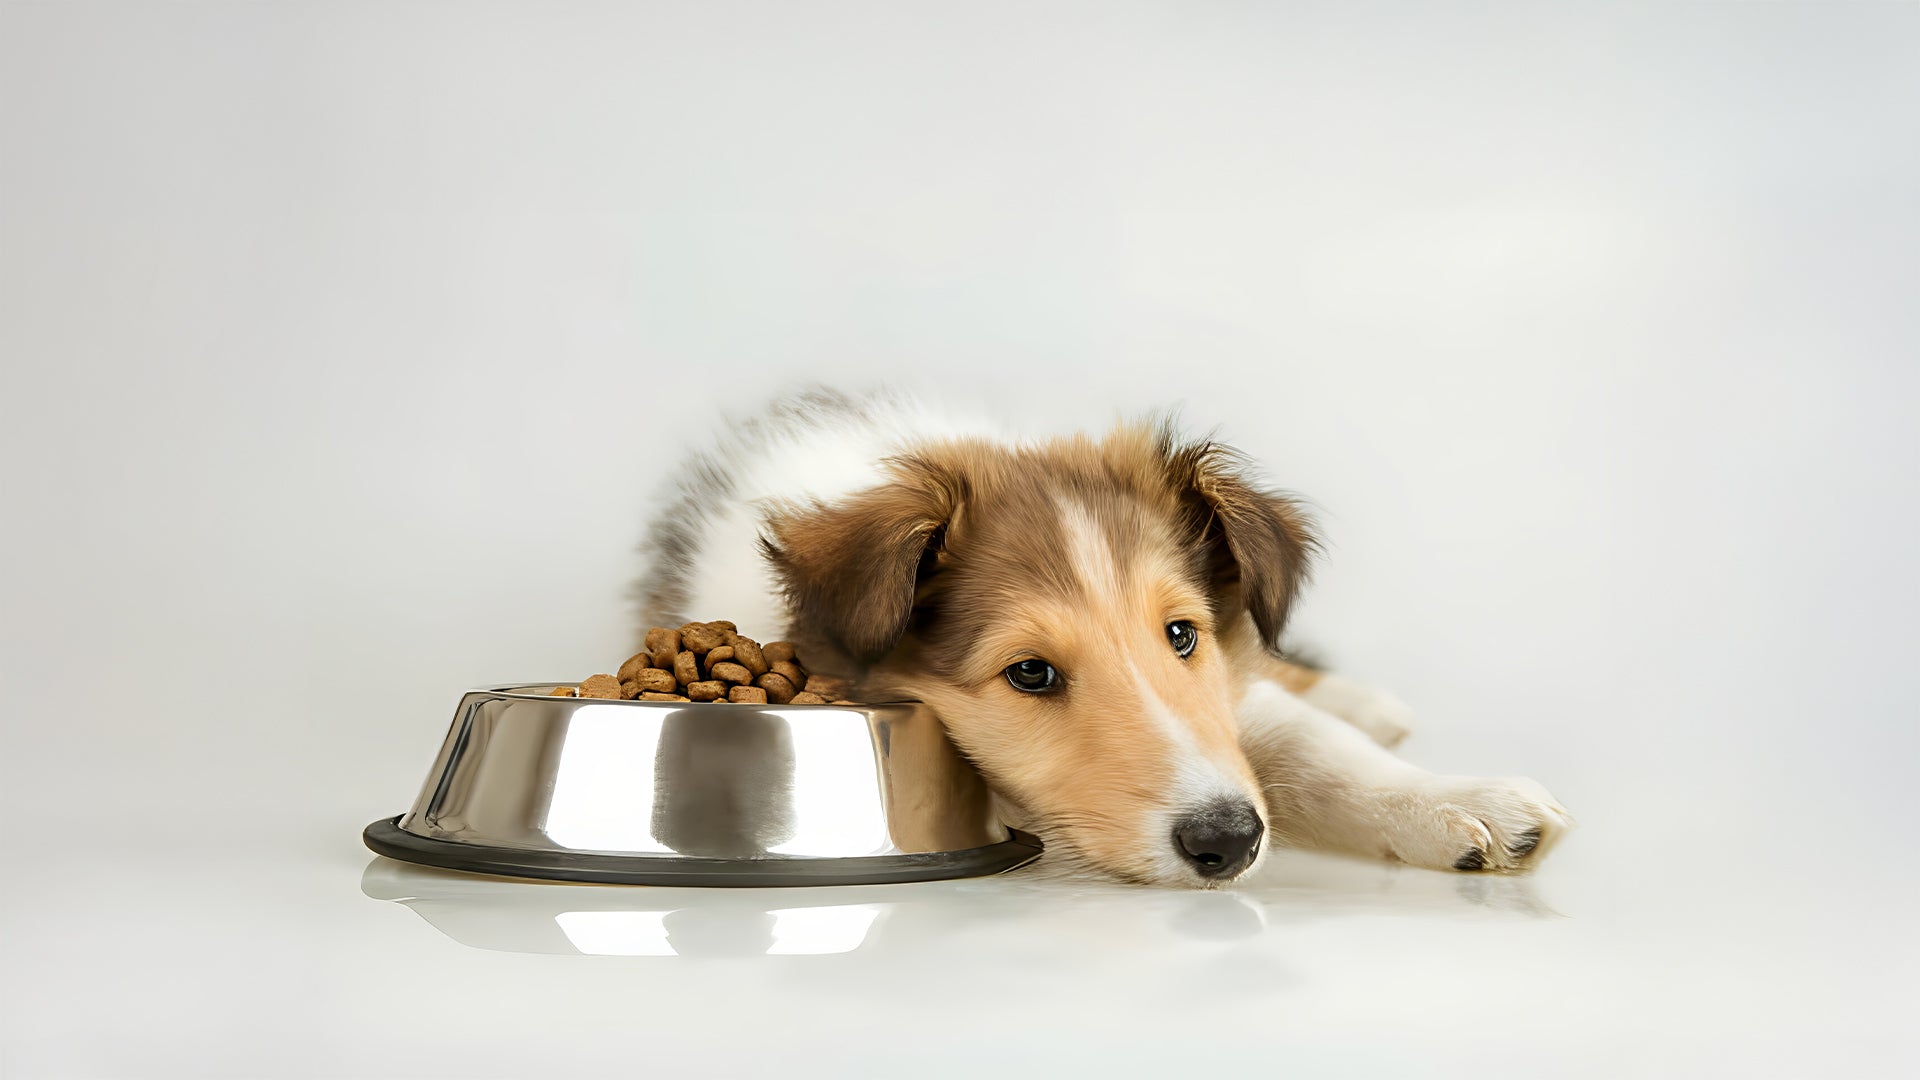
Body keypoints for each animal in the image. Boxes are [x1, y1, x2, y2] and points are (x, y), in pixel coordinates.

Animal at [637, 386, 1566, 883]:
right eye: (1030, 673)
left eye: (1181, 634)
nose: (1228, 843)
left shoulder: (1223, 694)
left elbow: (1315, 746)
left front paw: (1465, 802)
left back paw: (1371, 702)